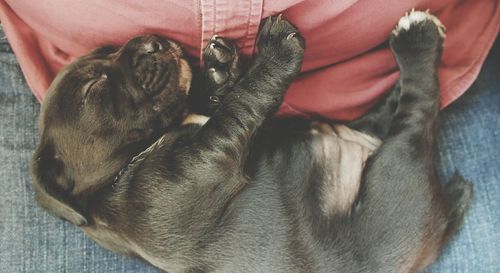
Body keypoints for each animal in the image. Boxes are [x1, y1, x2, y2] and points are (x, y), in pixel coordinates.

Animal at [32, 12, 472, 272]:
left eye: (109, 50)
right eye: (94, 87)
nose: (150, 41)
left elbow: (226, 101)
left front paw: (219, 70)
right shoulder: (204, 161)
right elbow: (243, 104)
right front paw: (273, 55)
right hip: (395, 172)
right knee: (417, 111)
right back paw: (418, 41)